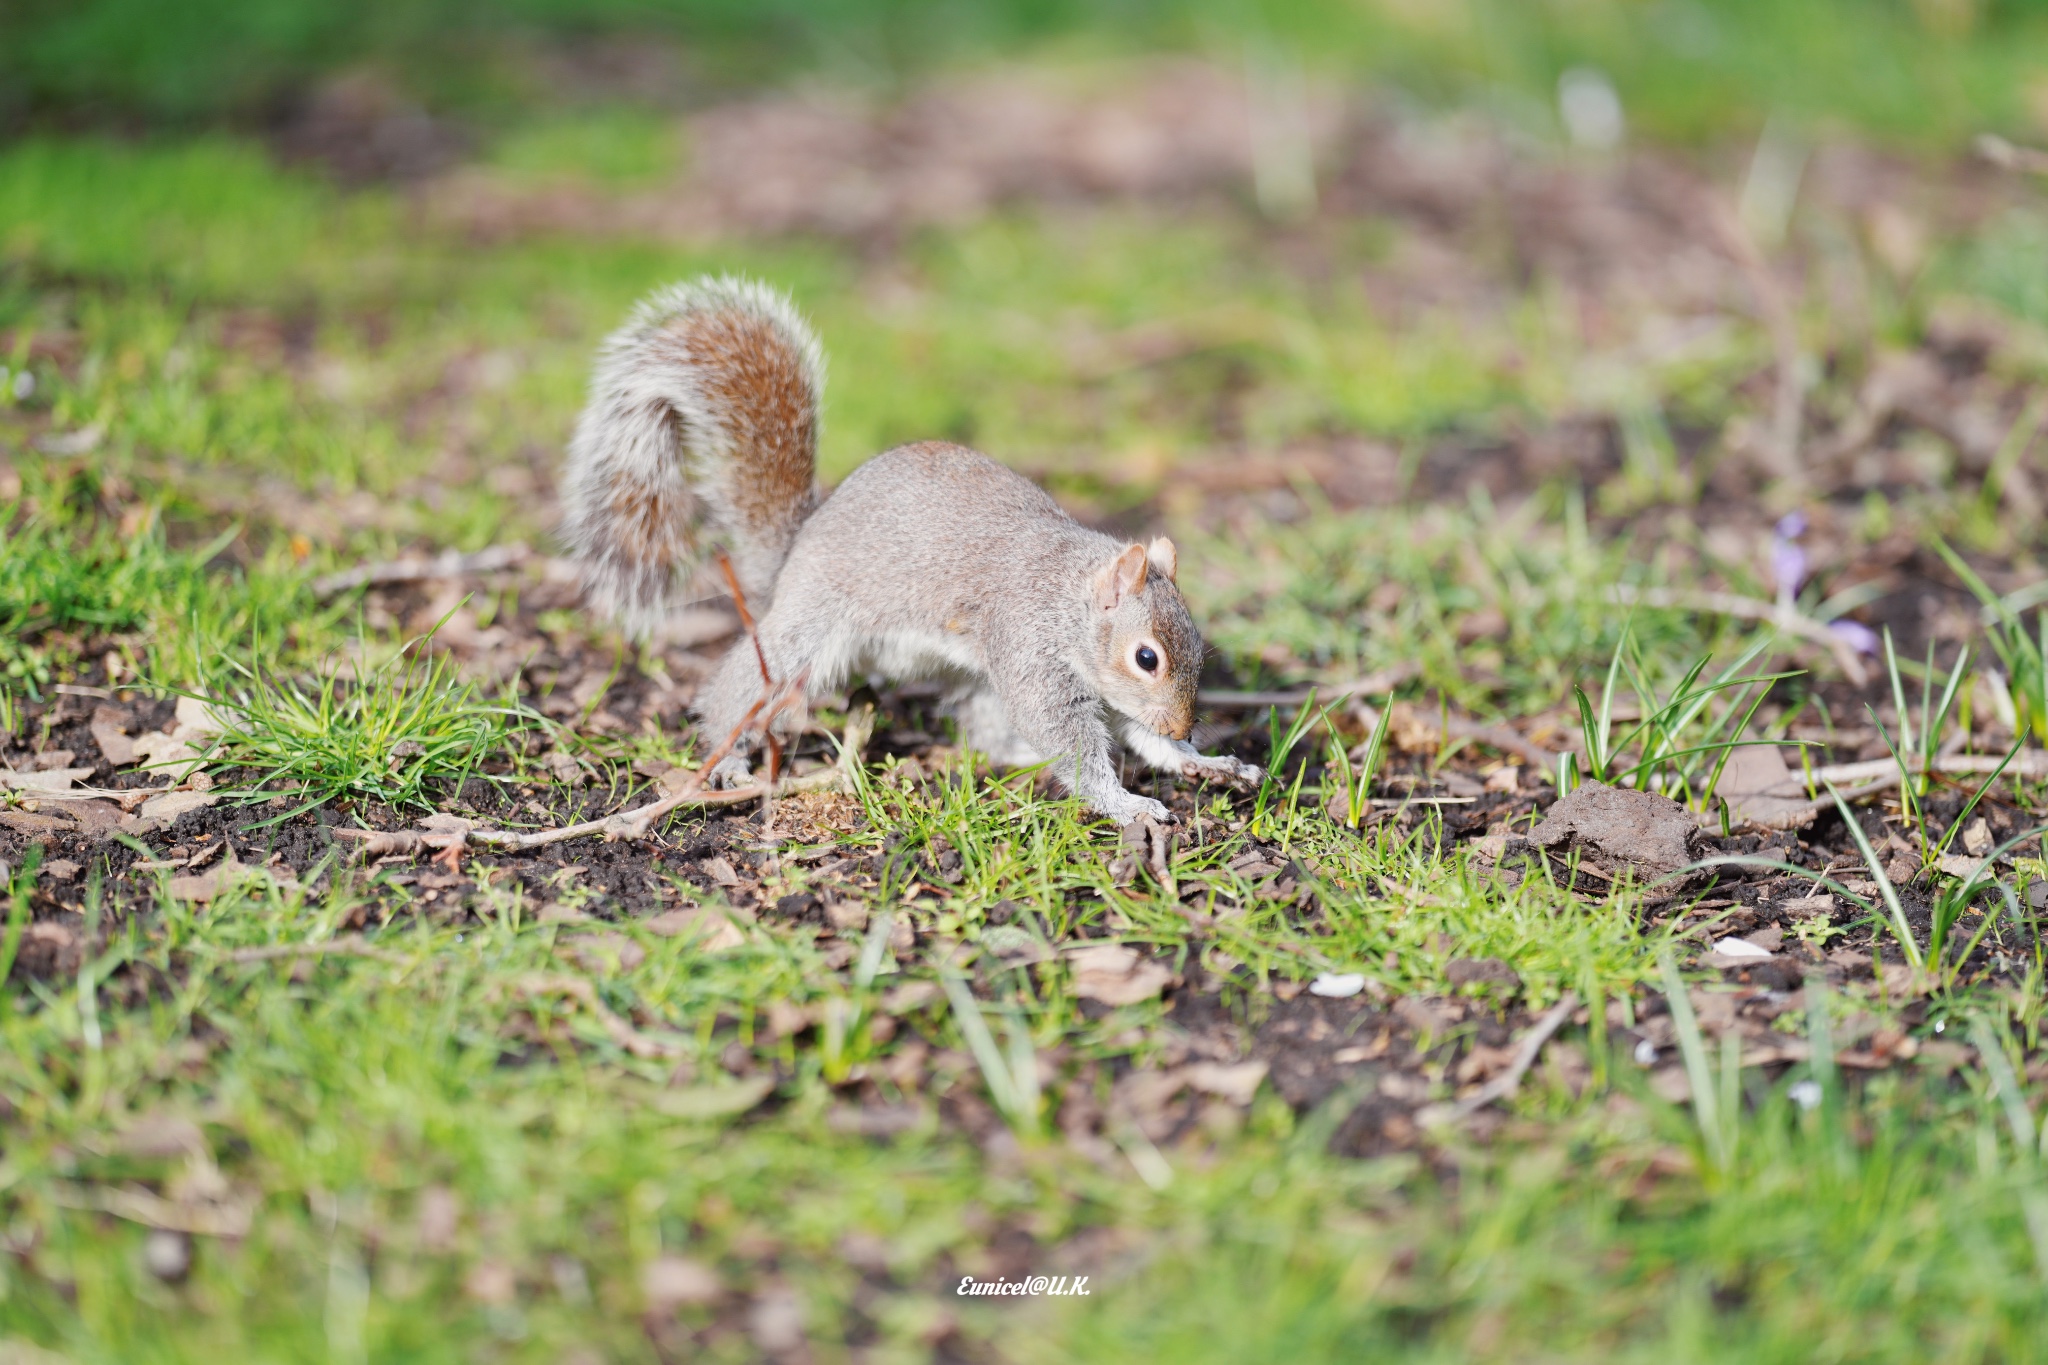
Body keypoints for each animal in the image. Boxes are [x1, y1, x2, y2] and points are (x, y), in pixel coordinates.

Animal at [565, 272, 1261, 818]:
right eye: (1147, 658)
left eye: (1198, 643)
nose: (1186, 722)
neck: (1068, 595)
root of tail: (793, 552)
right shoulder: (1030, 650)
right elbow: (1069, 740)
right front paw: (1126, 803)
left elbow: (1136, 733)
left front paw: (1204, 760)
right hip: (811, 623)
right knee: (741, 685)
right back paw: (729, 759)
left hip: (970, 673)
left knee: (981, 724)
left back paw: (1015, 754)